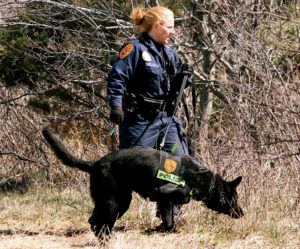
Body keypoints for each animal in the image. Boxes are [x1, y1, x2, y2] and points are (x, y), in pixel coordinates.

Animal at [42, 129, 244, 238]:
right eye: (234, 199)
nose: (242, 214)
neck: (203, 180)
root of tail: (94, 164)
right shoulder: (163, 193)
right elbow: (181, 199)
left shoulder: (165, 203)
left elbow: (169, 221)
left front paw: (162, 229)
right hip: (114, 202)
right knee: (100, 224)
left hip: (119, 201)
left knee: (94, 221)